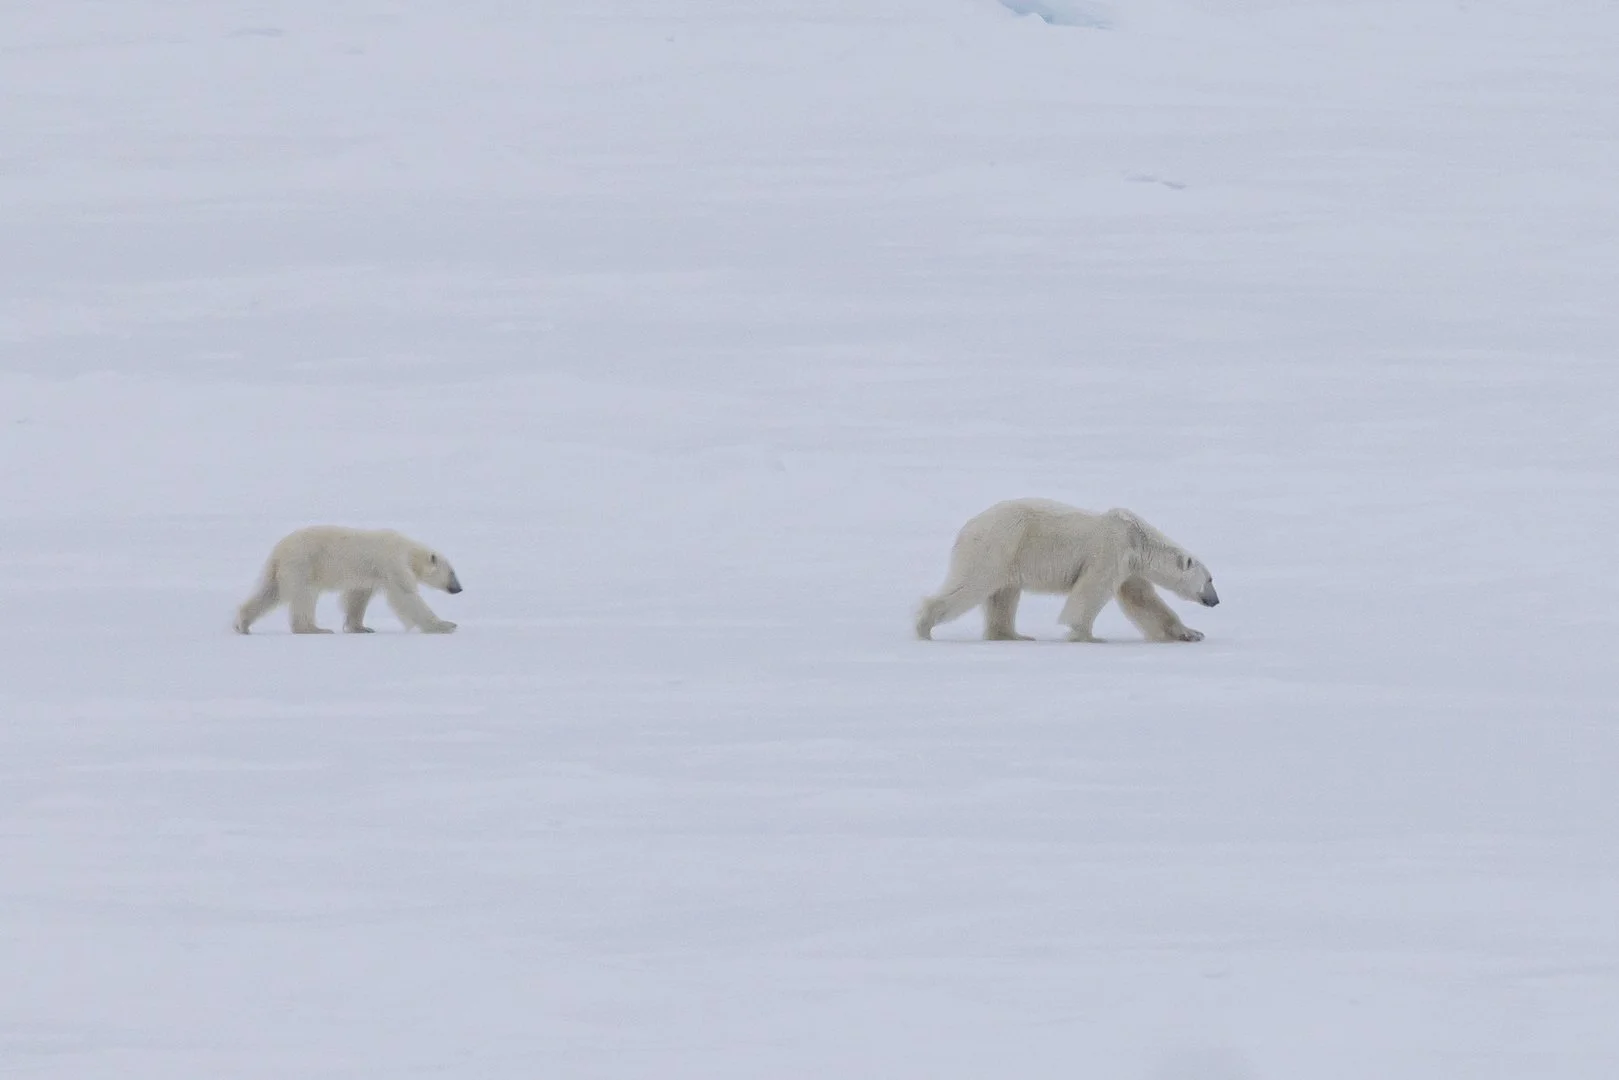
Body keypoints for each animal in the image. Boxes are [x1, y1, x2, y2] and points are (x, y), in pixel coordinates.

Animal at [233, 526, 462, 635]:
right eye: (452, 573)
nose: (459, 589)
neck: (408, 551)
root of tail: (278, 551)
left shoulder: (369, 575)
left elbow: (357, 597)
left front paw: (361, 627)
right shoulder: (392, 563)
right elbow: (406, 596)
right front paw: (446, 625)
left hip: (281, 570)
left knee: (269, 593)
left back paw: (243, 624)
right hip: (303, 564)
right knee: (304, 596)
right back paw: (314, 629)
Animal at [915, 498, 1218, 643]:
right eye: (1210, 579)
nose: (1216, 601)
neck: (1137, 538)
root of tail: (968, 527)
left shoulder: (1129, 567)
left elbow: (1144, 601)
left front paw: (1191, 633)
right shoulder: (1109, 551)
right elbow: (1091, 591)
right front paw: (1088, 636)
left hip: (1008, 556)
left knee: (1004, 596)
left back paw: (1014, 635)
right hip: (998, 545)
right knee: (972, 585)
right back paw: (924, 626)